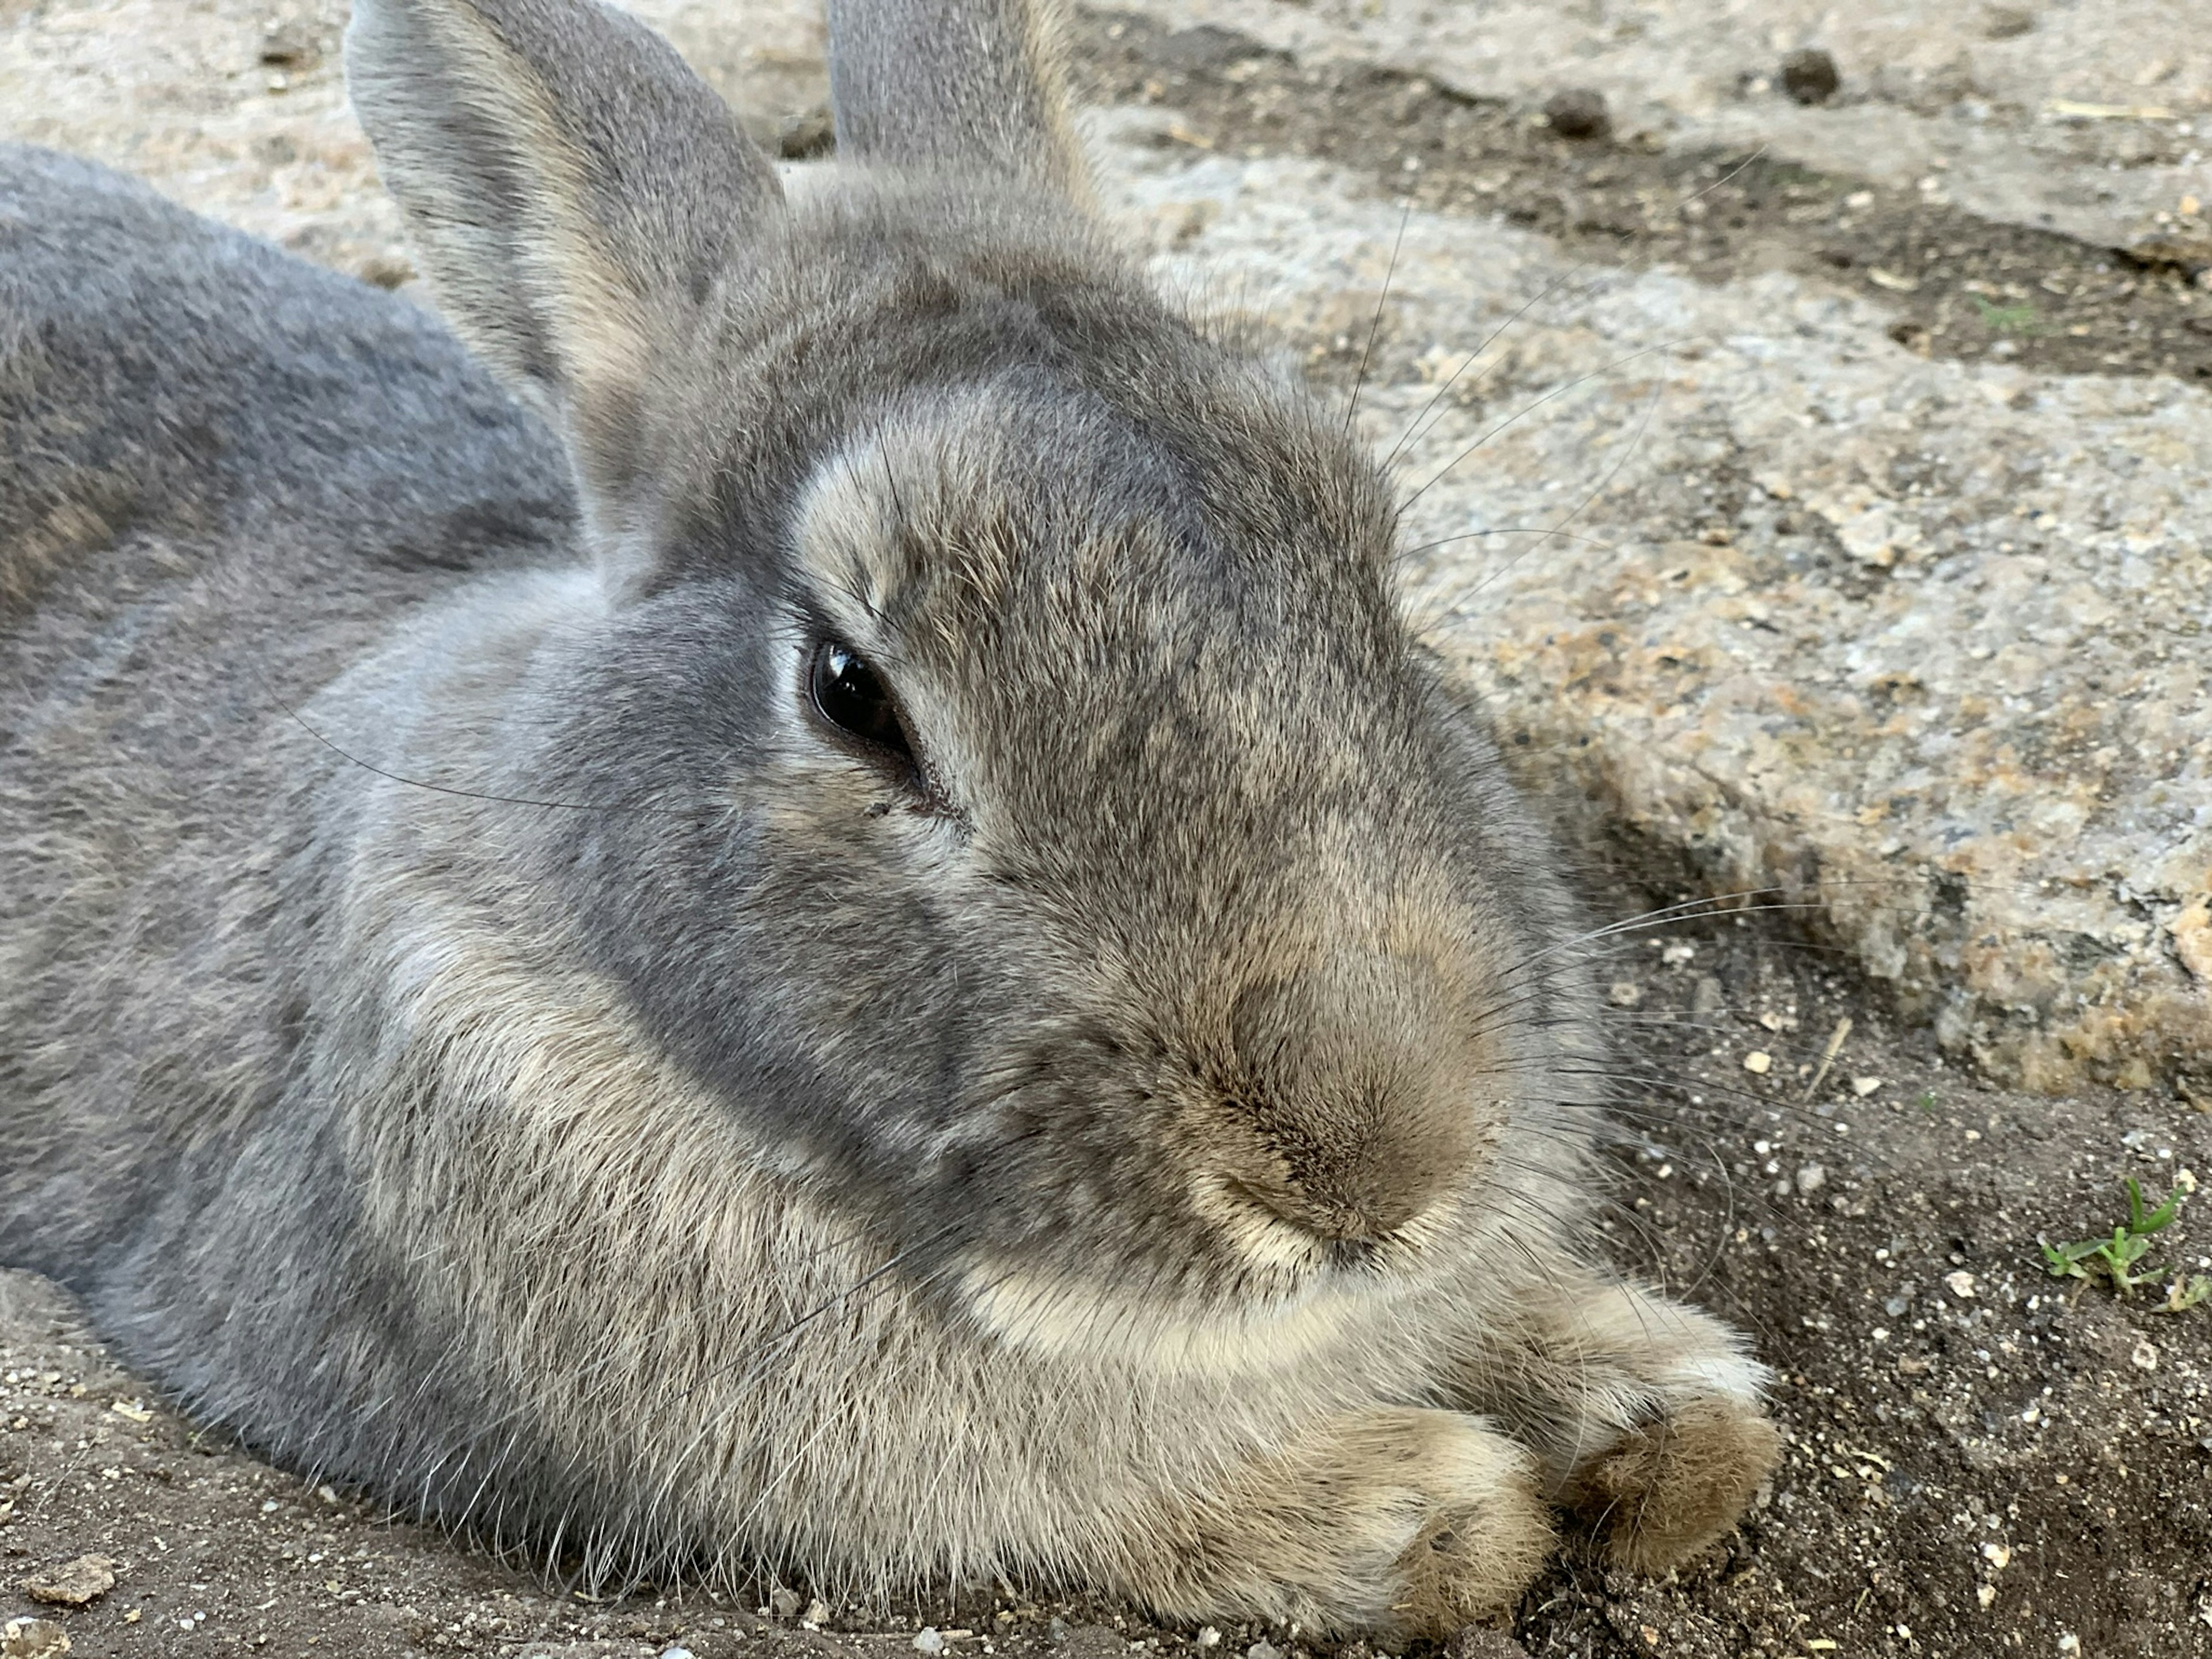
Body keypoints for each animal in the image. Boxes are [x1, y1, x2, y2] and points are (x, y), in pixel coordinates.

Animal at [0, 0, 1770, 1637]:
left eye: (1368, 570)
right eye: (854, 692)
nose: (1372, 1170)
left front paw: (1676, 1431)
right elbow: (1081, 1498)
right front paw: (1421, 1506)